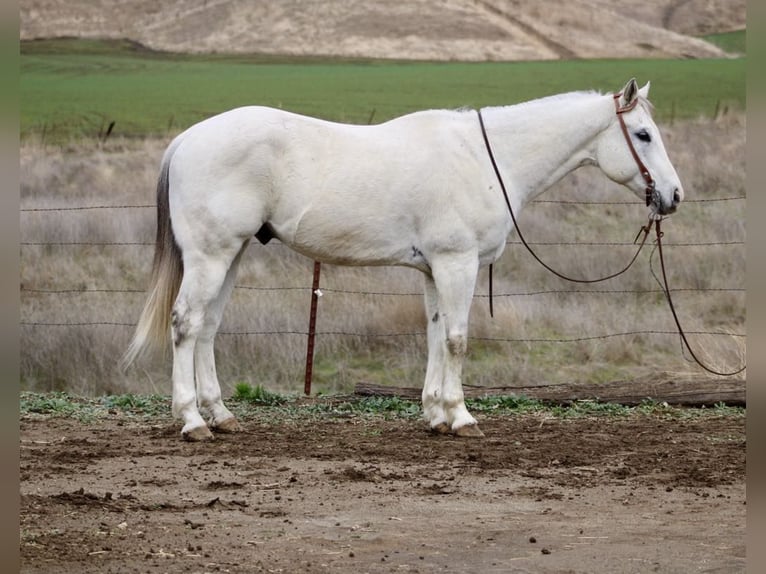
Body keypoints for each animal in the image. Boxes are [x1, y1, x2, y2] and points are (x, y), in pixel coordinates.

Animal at [122, 78, 683, 441]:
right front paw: (461, 417)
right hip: (210, 256)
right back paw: (193, 422)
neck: (485, 158)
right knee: (185, 324)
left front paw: (435, 415)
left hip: (231, 255)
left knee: (208, 328)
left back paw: (221, 415)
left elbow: (435, 335)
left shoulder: (435, 268)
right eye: (643, 135)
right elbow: (456, 339)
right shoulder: (458, 263)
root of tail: (187, 139)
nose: (674, 195)